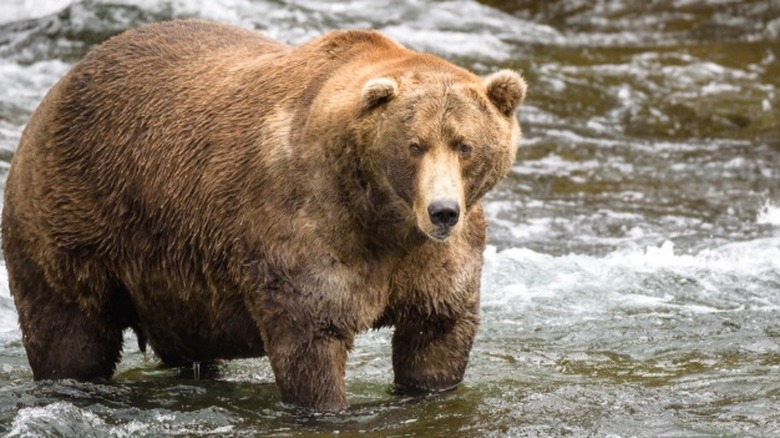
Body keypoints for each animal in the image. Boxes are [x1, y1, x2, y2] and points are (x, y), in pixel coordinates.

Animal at [1, 19, 526, 411]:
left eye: (464, 145)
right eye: (414, 145)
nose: (443, 212)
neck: (382, 217)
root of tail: (58, 88)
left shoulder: (436, 261)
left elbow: (437, 335)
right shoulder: (307, 225)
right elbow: (311, 339)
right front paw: (327, 403)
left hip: (171, 277)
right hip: (73, 217)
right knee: (70, 332)